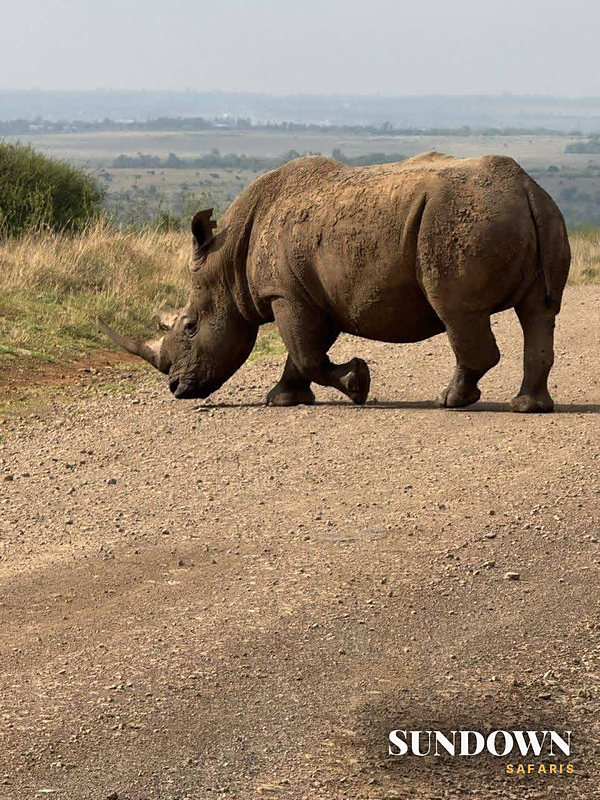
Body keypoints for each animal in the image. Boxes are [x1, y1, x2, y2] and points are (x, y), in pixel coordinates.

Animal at [100, 152, 570, 412]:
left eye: (191, 326)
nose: (176, 388)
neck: (226, 258)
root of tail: (526, 188)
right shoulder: (311, 294)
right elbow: (302, 353)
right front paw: (282, 399)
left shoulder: (285, 293)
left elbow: (306, 354)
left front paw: (357, 384)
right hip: (541, 215)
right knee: (539, 312)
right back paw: (528, 407)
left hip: (457, 223)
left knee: (456, 311)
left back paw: (449, 402)